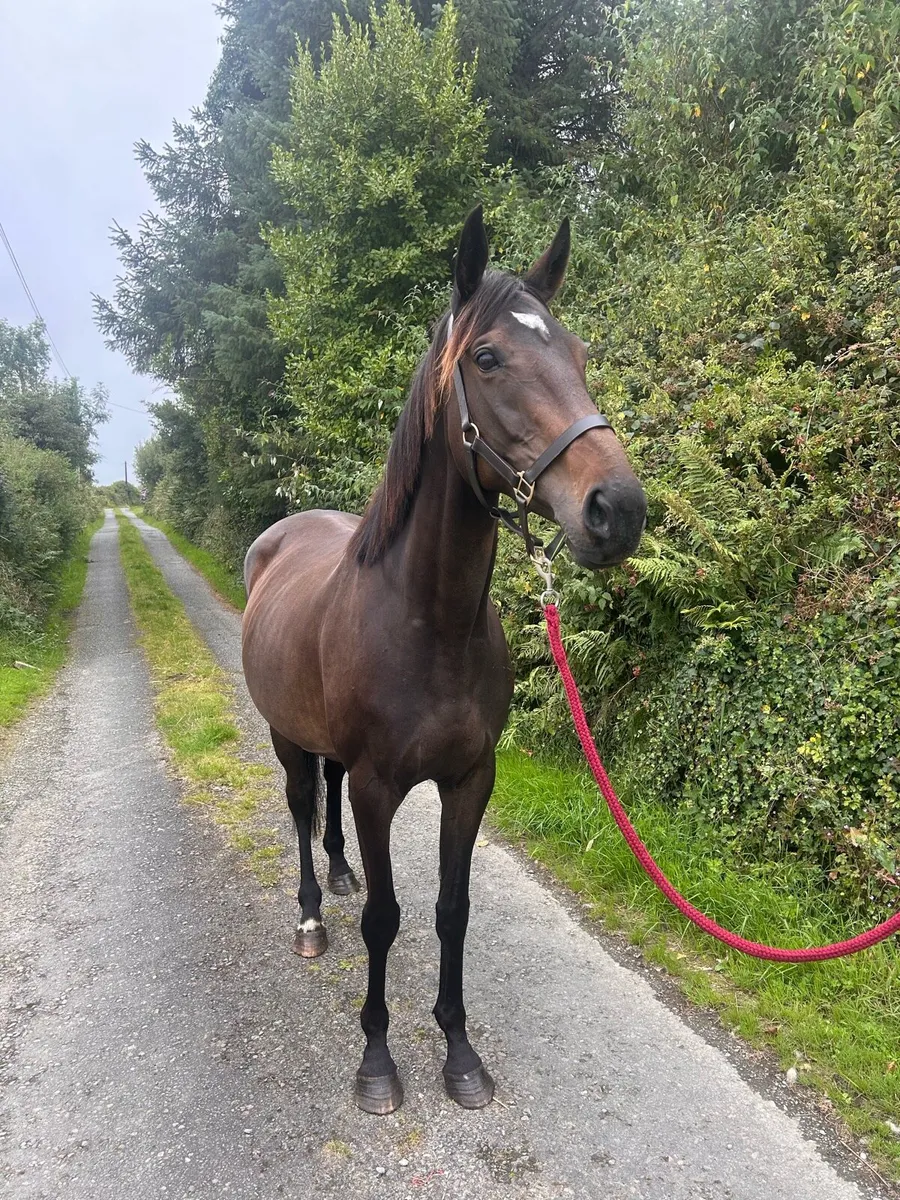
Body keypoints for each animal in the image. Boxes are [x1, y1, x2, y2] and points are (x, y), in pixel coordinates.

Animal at [241, 206, 646, 1115]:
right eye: (488, 358)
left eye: (579, 356)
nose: (618, 508)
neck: (427, 623)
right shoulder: (380, 787)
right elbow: (387, 920)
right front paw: (378, 1061)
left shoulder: (469, 780)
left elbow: (452, 910)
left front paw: (460, 1052)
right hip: (288, 736)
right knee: (299, 804)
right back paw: (312, 914)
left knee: (323, 801)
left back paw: (340, 875)